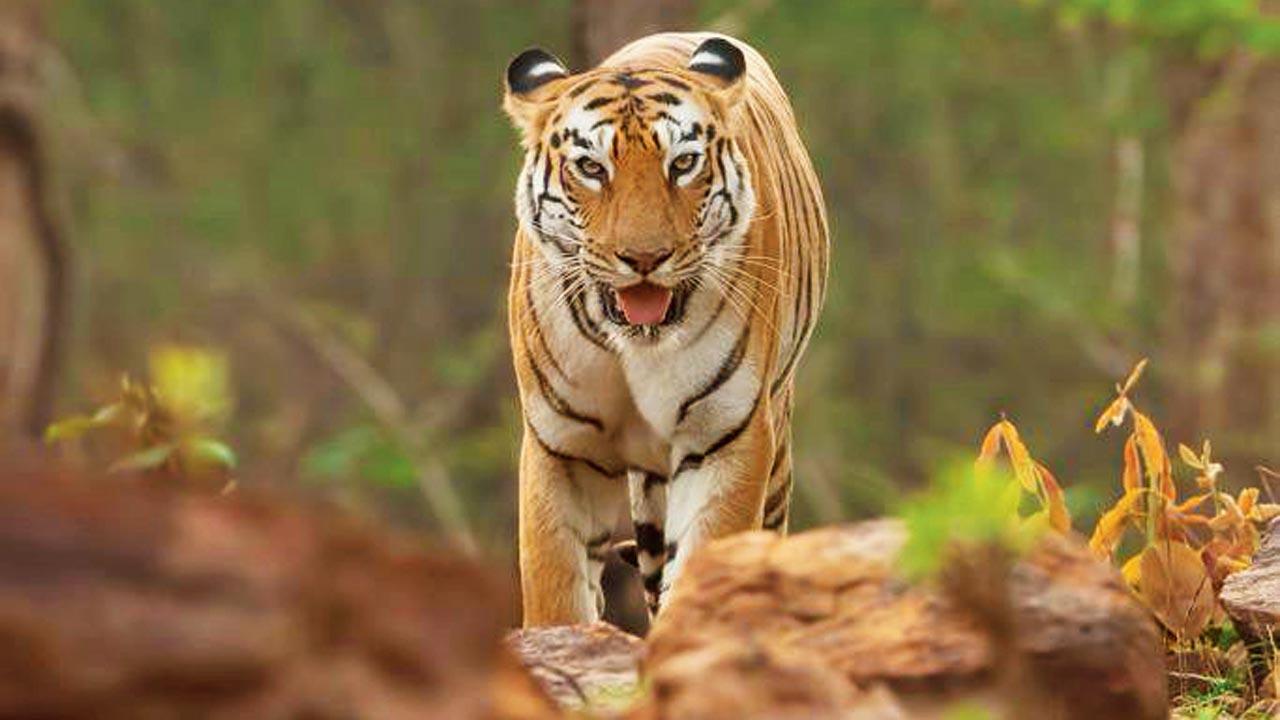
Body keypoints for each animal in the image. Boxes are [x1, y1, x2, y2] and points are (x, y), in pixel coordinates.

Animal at [501, 30, 829, 622]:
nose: (644, 257)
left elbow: (706, 557)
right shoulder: (560, 447)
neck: (635, 349)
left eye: (683, 163)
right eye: (591, 168)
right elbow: (555, 589)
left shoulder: (725, 436)